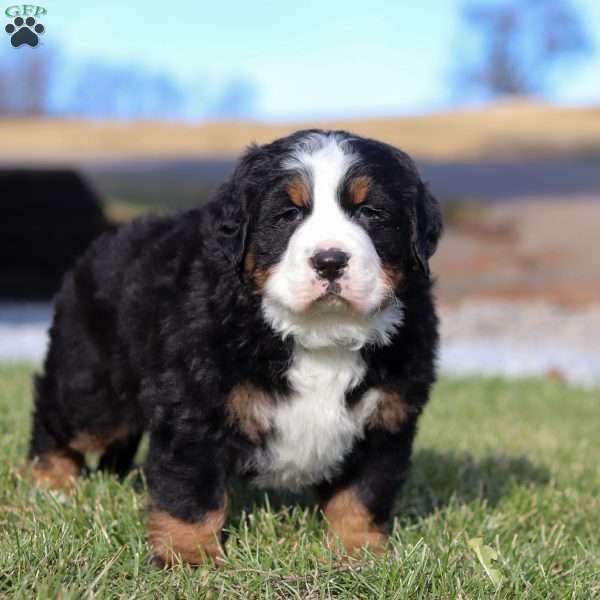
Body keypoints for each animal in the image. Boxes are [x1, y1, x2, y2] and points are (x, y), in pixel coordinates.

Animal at [28, 130, 440, 568]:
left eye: (370, 212)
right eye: (288, 214)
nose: (330, 261)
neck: (320, 332)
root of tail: (104, 242)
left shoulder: (386, 418)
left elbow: (362, 494)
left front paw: (359, 554)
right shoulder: (195, 405)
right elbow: (191, 491)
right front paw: (188, 556)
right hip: (93, 384)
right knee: (56, 418)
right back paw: (50, 484)